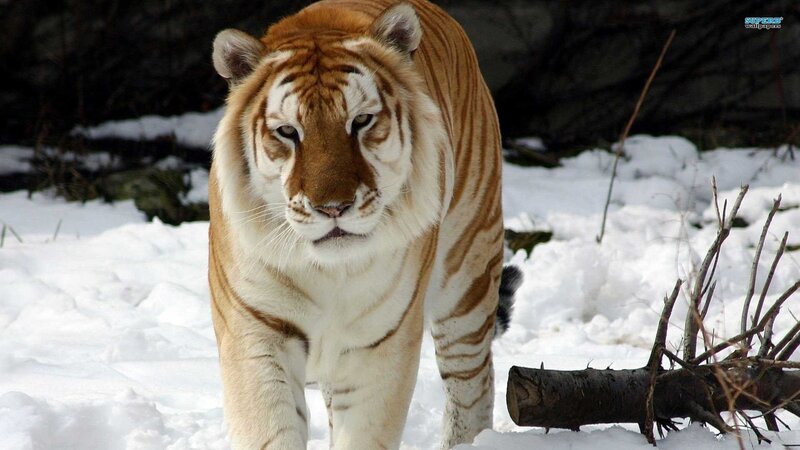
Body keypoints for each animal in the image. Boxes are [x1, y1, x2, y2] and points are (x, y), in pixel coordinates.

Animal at [207, 0, 521, 449]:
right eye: (288, 132)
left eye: (360, 122)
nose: (333, 207)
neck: (328, 271)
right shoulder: (256, 332)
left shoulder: (380, 343)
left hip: (469, 274)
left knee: (471, 384)